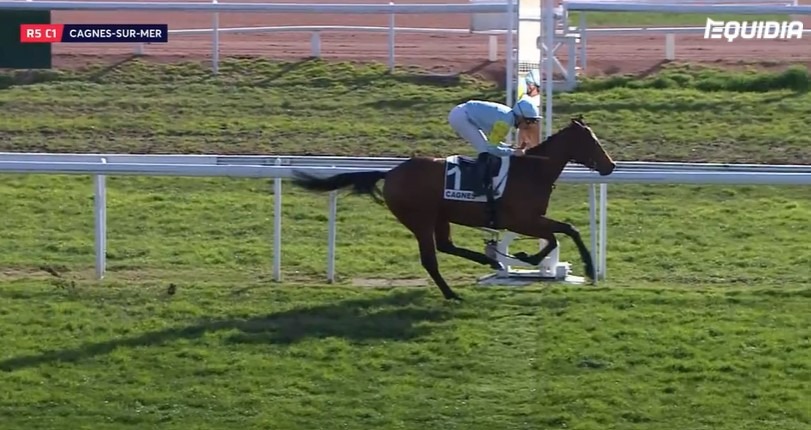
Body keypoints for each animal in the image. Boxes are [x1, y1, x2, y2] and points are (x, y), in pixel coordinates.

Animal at [291, 116, 616, 301]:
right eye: (591, 142)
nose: (611, 166)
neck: (532, 171)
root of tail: (391, 173)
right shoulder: (522, 220)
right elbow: (563, 232)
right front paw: (584, 266)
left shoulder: (529, 220)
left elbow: (557, 237)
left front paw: (526, 257)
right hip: (420, 219)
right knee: (431, 259)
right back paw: (452, 293)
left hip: (439, 216)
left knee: (446, 245)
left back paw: (489, 261)